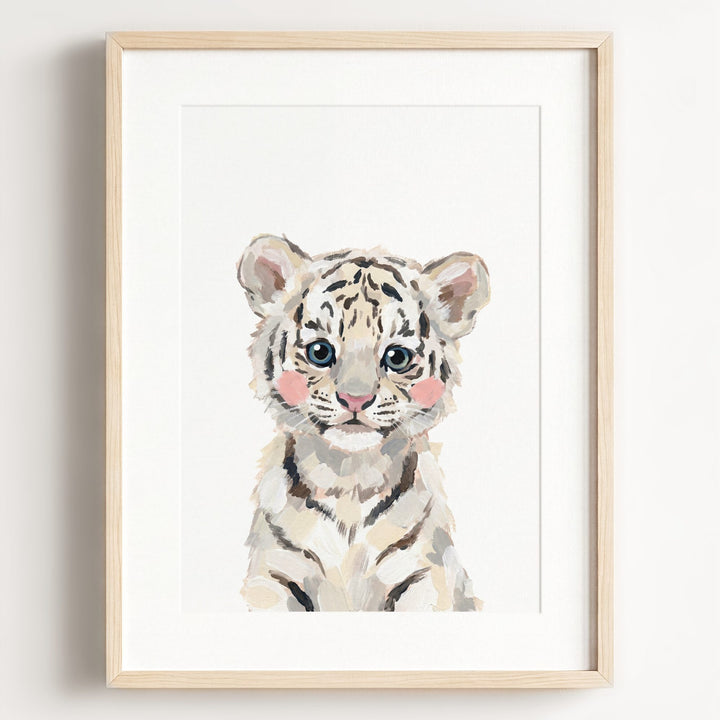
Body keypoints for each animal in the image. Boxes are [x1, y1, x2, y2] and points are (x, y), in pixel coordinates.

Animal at [236, 234, 490, 611]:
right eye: (320, 352)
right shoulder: (273, 576)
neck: (348, 481)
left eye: (397, 357)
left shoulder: (425, 576)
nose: (355, 399)